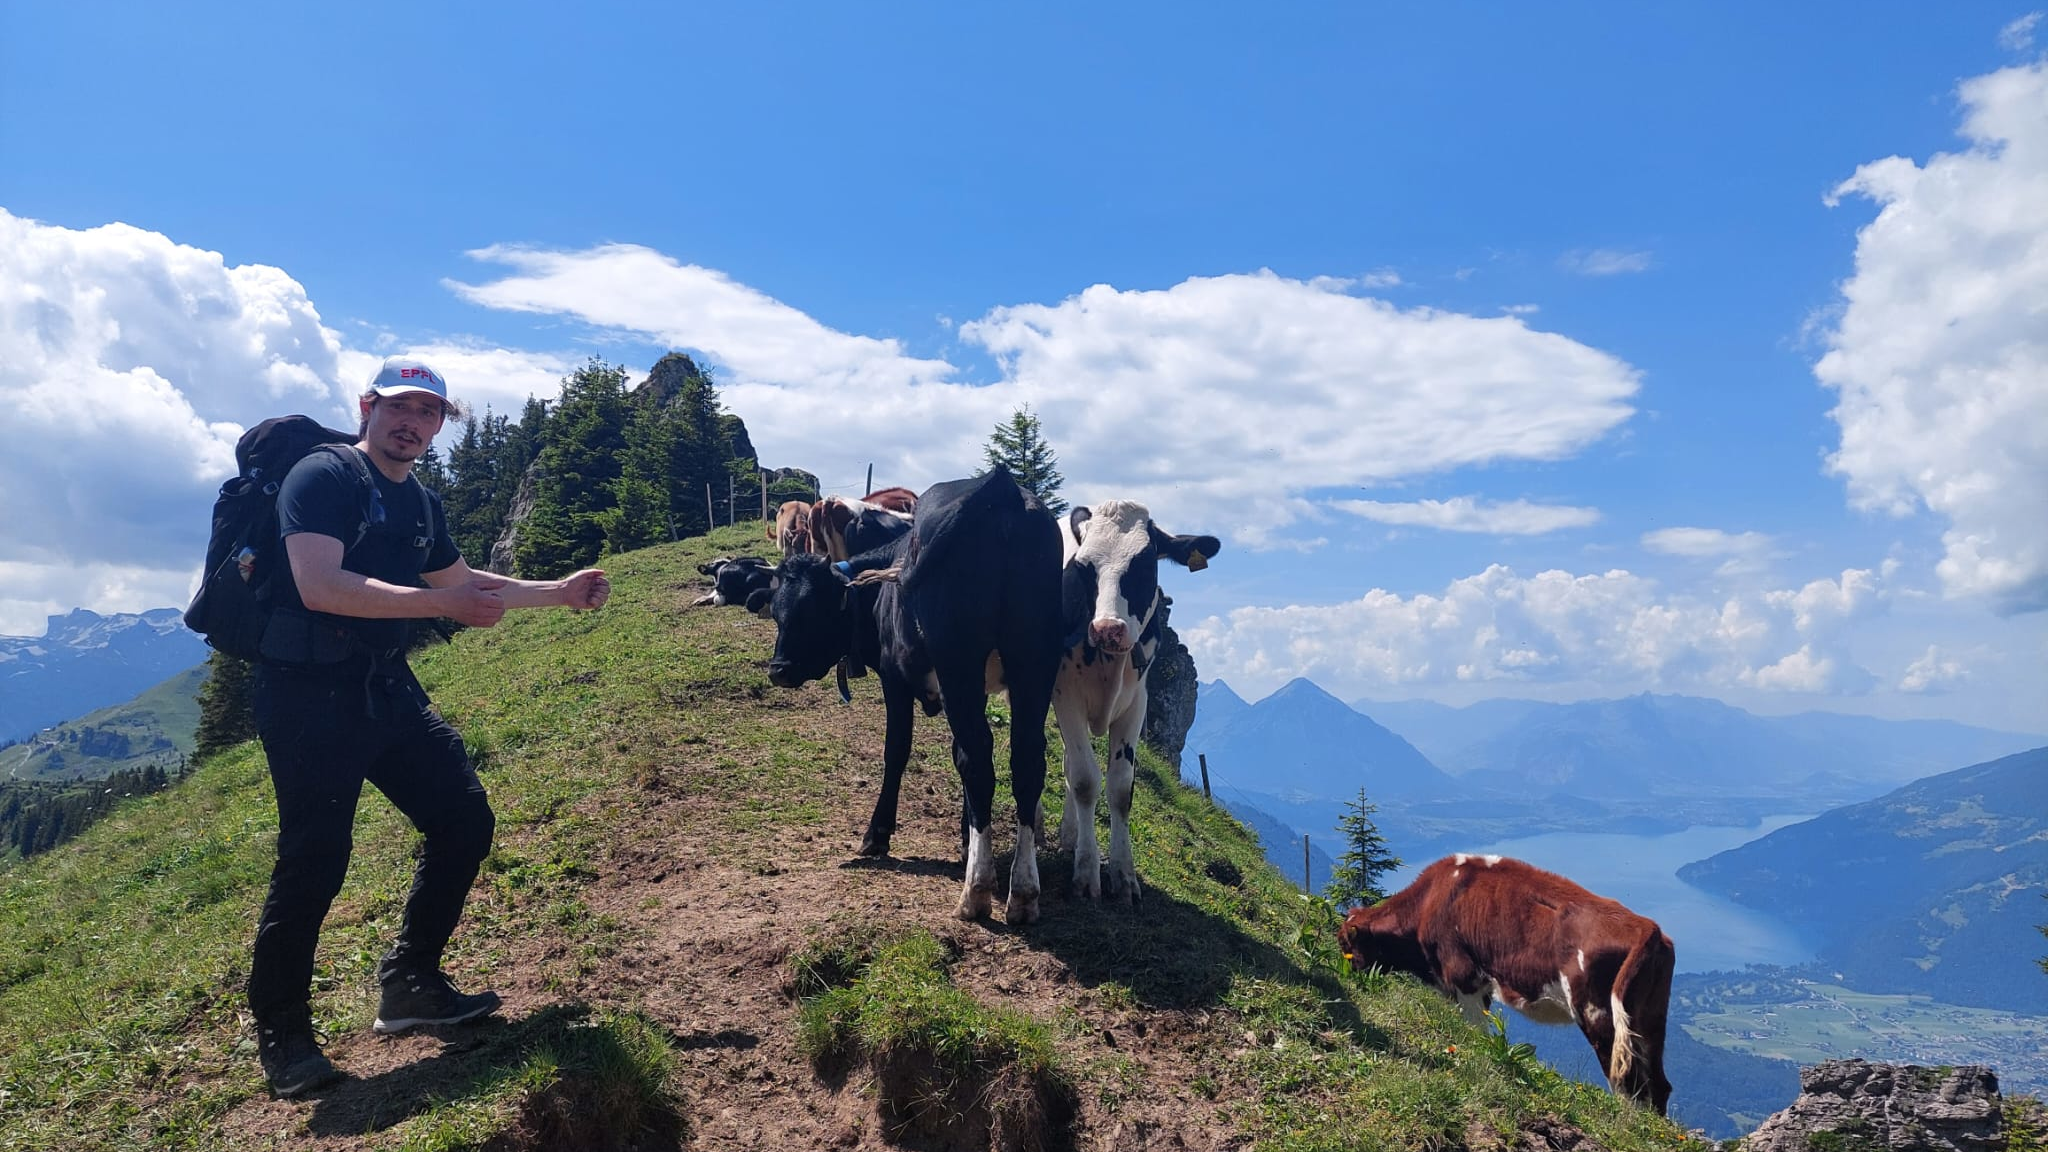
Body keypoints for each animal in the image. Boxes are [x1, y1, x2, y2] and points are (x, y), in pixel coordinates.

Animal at [756, 468, 1063, 923]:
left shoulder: (896, 680)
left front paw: (877, 834)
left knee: (979, 758)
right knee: (1024, 760)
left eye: (813, 613)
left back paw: (975, 892)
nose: (779, 670)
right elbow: (957, 758)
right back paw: (1023, 893)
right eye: (777, 612)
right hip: (1033, 662)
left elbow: (897, 751)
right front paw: (967, 839)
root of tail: (1001, 488)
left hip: (960, 661)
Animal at [1053, 501, 1219, 903]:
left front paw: (1124, 876)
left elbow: (1120, 787)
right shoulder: (1066, 696)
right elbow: (1085, 779)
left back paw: (1069, 834)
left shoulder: (1135, 705)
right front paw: (1086, 873)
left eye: (1145, 565)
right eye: (1084, 567)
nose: (1108, 629)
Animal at [1337, 855, 1675, 1115]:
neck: (1431, 901)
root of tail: (1646, 926)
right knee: (1658, 1084)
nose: (1347, 976)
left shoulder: (1465, 978)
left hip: (1597, 1014)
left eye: (1346, 946)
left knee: (1626, 1082)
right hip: (1649, 1019)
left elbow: (1475, 1032)